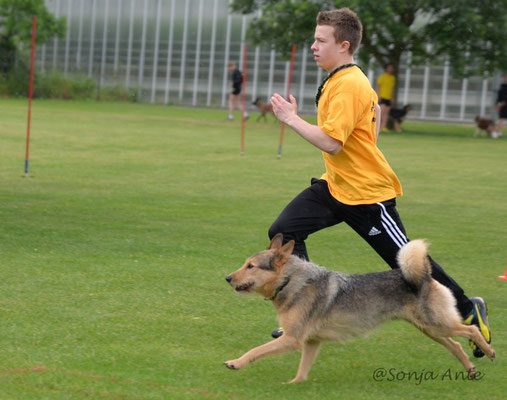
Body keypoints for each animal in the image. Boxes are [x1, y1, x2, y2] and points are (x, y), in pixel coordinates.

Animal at [224, 234, 494, 384]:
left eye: (250, 266)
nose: (227, 278)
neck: (290, 281)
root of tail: (425, 276)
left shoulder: (293, 339)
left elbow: (255, 350)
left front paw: (235, 362)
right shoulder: (311, 342)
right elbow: (302, 371)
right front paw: (293, 385)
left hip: (437, 325)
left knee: (471, 331)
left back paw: (488, 349)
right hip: (431, 330)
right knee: (456, 345)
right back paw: (471, 371)